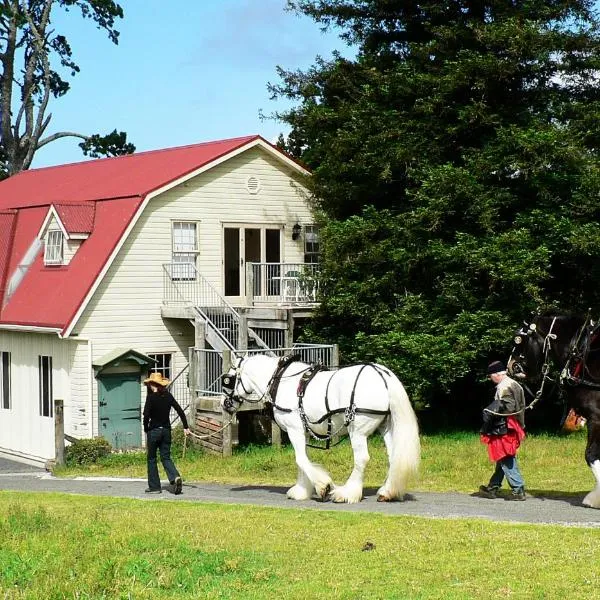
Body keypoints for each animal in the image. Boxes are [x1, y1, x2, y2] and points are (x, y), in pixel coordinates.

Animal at [218, 354, 420, 504]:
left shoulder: (294, 429)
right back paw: (387, 491)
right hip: (385, 427)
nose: (224, 404)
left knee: (361, 458)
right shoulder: (303, 432)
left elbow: (300, 459)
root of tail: (382, 374)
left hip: (358, 431)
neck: (279, 381)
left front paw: (323, 487)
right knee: (393, 457)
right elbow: (302, 459)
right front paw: (301, 490)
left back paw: (346, 493)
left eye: (228, 380)